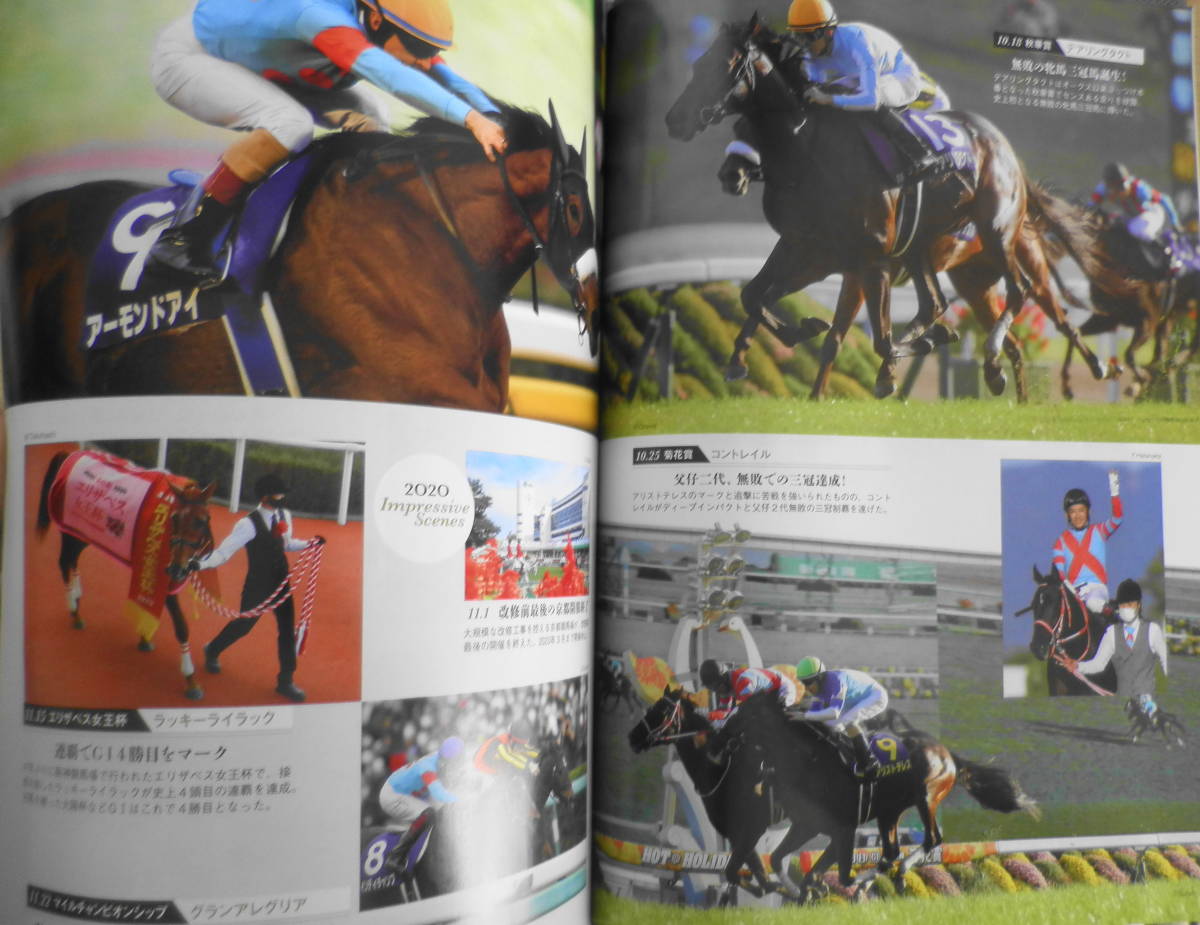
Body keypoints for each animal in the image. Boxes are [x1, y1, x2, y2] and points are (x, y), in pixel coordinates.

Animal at [36, 449, 215, 700]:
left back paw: (78, 597)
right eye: (175, 518)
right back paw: (74, 611)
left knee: (73, 559)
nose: (178, 569)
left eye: (200, 521)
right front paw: (191, 680)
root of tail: (70, 453)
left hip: (82, 532)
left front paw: (144, 638)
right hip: (68, 527)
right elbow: (181, 627)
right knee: (64, 561)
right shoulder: (161, 574)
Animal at [627, 686, 778, 905]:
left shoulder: (752, 826)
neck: (719, 766)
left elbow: (744, 874)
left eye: (662, 710)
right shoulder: (736, 831)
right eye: (652, 707)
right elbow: (754, 874)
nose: (632, 736)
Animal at [664, 17, 1112, 401]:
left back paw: (1081, 366)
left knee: (1032, 301)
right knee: (947, 309)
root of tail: (1005, 148)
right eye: (696, 66)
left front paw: (893, 364)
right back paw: (991, 370)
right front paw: (765, 352)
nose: (674, 121)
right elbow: (757, 296)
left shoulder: (869, 259)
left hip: (1000, 234)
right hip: (960, 272)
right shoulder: (810, 250)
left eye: (724, 69)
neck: (810, 149)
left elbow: (873, 338)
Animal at [712, 691, 1039, 902]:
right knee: (891, 851)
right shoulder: (809, 825)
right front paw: (803, 890)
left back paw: (895, 875)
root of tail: (945, 752)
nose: (720, 734)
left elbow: (841, 874)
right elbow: (784, 859)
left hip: (927, 796)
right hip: (889, 812)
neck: (810, 759)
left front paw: (830, 887)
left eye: (748, 710)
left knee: (931, 839)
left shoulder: (842, 828)